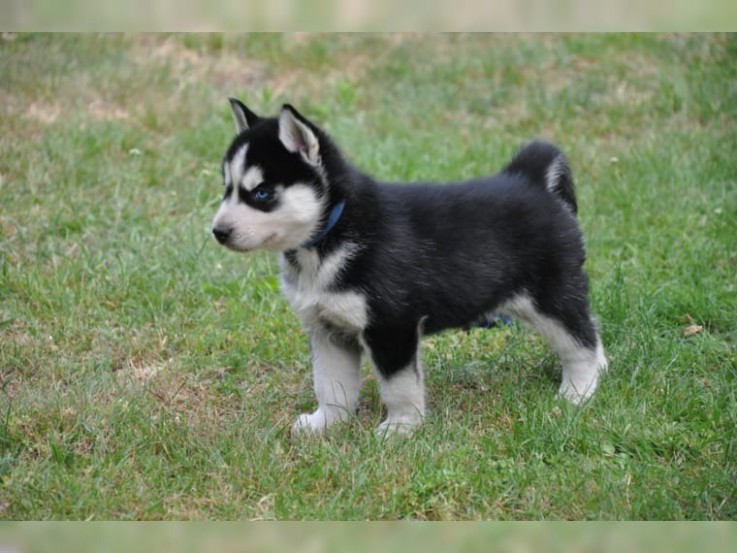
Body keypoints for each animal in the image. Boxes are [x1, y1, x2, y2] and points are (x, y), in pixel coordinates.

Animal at [210, 100, 608, 436]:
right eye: (227, 188)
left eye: (261, 193)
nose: (218, 231)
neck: (330, 236)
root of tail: (530, 180)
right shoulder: (326, 328)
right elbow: (331, 384)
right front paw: (326, 423)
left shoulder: (391, 325)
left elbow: (398, 386)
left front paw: (401, 427)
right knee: (590, 329)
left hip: (549, 298)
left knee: (581, 343)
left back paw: (578, 392)